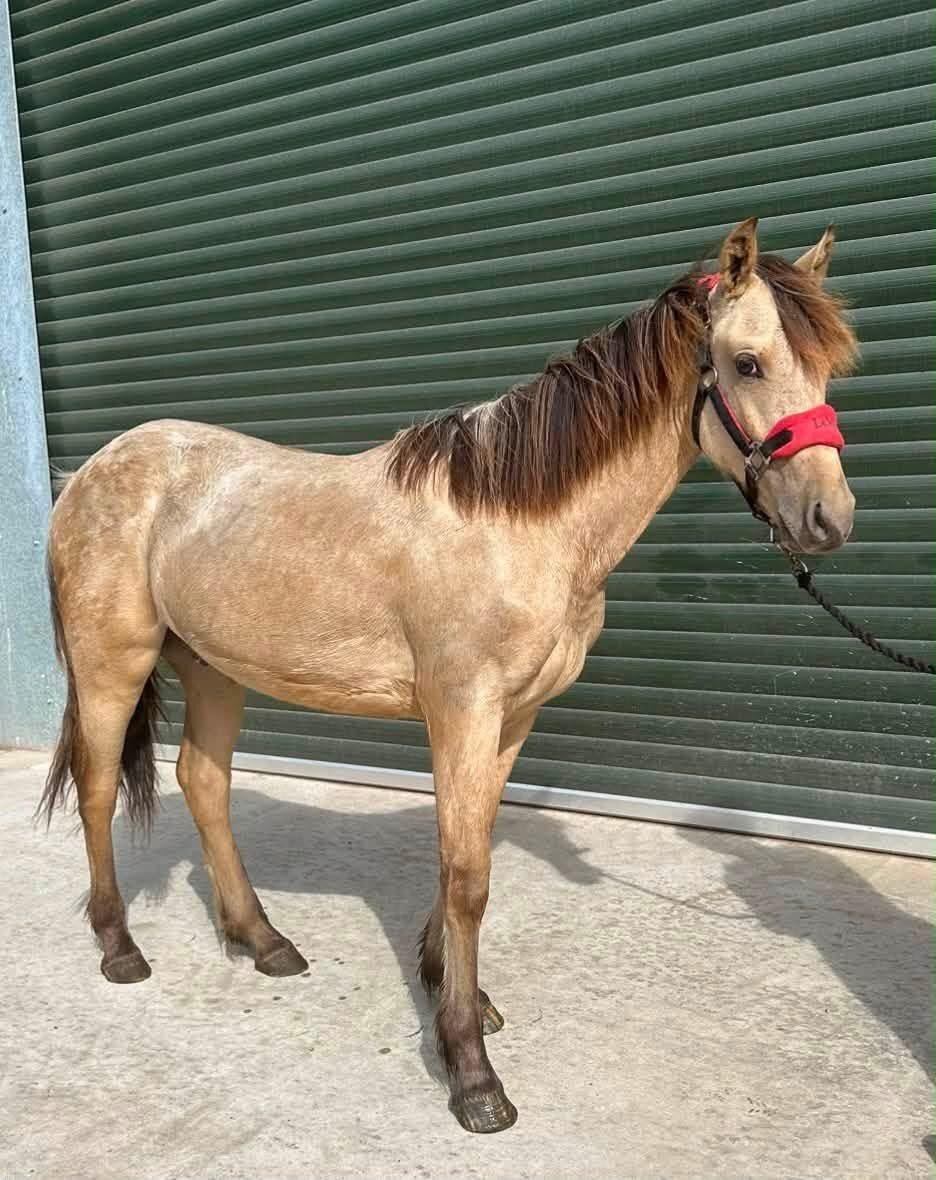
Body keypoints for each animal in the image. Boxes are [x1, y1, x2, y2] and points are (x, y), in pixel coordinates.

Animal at [39, 218, 857, 1133]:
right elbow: (466, 876)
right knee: (99, 786)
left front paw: (451, 992)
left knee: (203, 783)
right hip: (112, 663)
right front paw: (471, 1070)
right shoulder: (462, 709)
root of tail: (93, 471)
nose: (829, 519)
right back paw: (120, 948)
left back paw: (264, 942)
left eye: (830, 368)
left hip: (215, 667)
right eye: (748, 363)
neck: (521, 521)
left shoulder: (512, 717)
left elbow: (472, 851)